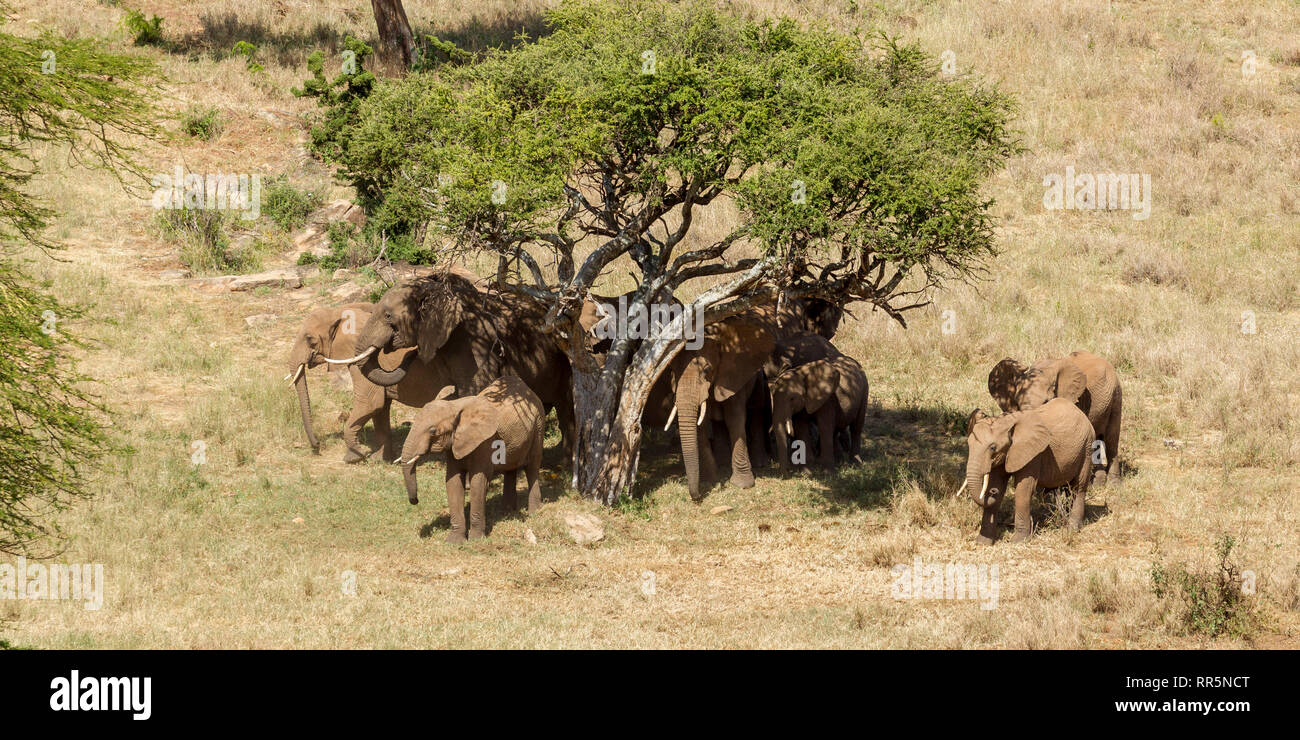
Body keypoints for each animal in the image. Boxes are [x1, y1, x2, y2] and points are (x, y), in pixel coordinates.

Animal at [325, 271, 574, 452]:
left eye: (388, 316)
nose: (410, 354)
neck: (436, 290)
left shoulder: (476, 342)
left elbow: (474, 390)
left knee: (565, 408)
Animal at [390, 374, 543, 543]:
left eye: (433, 431)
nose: (415, 501)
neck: (455, 407)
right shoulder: (454, 445)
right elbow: (453, 482)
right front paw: (454, 541)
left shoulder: (485, 442)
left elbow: (478, 482)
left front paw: (476, 540)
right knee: (510, 468)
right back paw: (507, 513)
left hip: (538, 425)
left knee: (532, 467)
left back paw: (534, 512)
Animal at [764, 335, 868, 468]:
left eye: (792, 398)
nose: (786, 470)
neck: (801, 373)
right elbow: (801, 427)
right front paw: (808, 465)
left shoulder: (828, 399)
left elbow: (824, 426)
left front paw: (826, 467)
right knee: (836, 427)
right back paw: (838, 459)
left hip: (865, 389)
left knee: (856, 427)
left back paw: (855, 462)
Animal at [956, 397, 1097, 543]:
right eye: (969, 445)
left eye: (993, 448)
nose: (992, 492)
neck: (1008, 423)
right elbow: (997, 484)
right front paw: (983, 542)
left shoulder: (1034, 453)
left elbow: (1023, 490)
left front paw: (1018, 541)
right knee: (1069, 488)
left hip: (1087, 446)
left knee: (1078, 487)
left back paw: (1072, 529)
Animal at [987, 351, 1123, 483]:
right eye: (1017, 402)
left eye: (1046, 401)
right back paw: (1098, 483)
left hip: (1116, 394)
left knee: (1111, 439)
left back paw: (1113, 483)